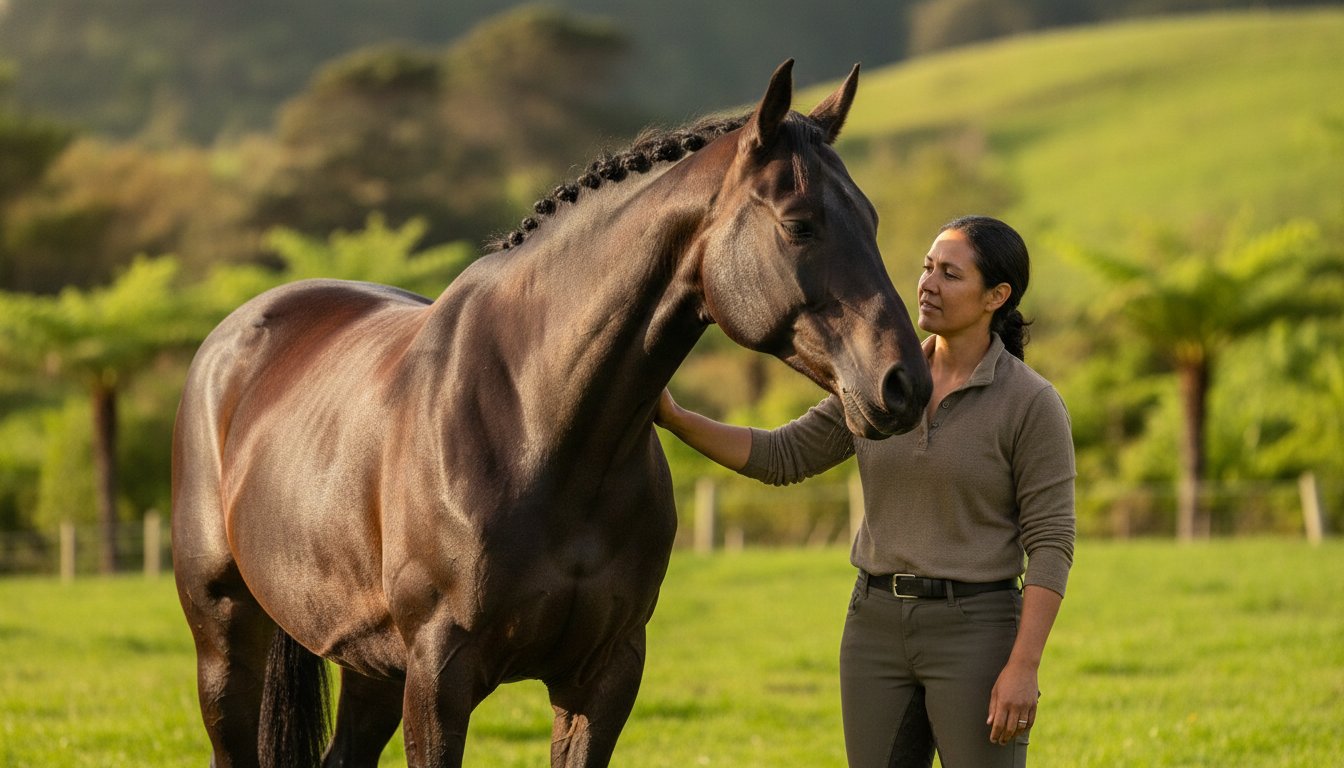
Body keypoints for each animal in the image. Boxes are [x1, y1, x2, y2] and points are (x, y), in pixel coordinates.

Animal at [172, 60, 933, 768]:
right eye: (801, 224)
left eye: (871, 219)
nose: (906, 384)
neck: (537, 428)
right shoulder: (439, 679)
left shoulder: (603, 675)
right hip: (227, 640)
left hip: (372, 669)